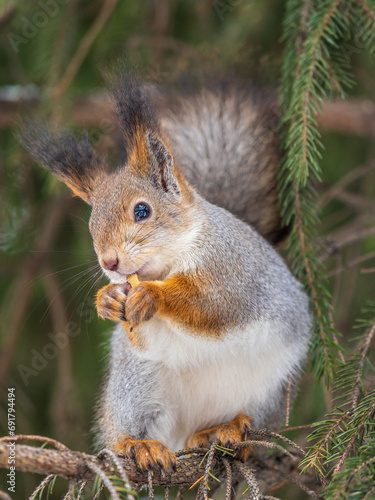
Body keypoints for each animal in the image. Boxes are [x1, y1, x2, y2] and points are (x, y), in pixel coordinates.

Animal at [21, 70, 314, 472]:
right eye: (92, 225)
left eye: (142, 211)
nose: (109, 263)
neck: (168, 263)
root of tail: (190, 429)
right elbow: (141, 335)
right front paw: (107, 300)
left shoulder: (233, 273)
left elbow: (213, 306)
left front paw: (154, 295)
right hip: (137, 386)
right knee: (131, 428)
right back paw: (139, 444)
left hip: (270, 390)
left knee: (245, 419)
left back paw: (227, 430)